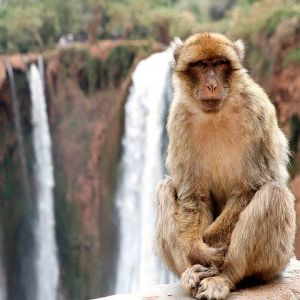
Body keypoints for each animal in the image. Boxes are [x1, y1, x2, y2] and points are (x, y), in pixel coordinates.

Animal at [156, 32, 296, 300]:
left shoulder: (257, 110)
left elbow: (250, 188)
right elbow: (193, 196)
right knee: (166, 187)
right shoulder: (178, 118)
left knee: (274, 194)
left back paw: (224, 276)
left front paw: (208, 245)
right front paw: (196, 250)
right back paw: (190, 272)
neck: (216, 114)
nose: (211, 85)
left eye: (220, 63)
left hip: (277, 260)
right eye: (201, 65)